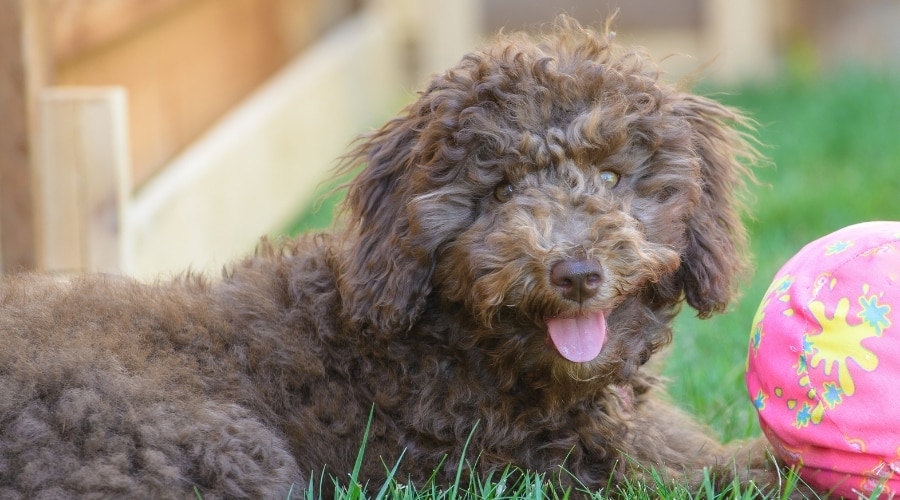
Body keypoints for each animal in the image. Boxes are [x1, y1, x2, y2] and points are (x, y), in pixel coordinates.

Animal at [0, 16, 772, 500]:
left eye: (611, 177)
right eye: (498, 192)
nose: (576, 272)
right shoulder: (529, 467)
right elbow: (694, 475)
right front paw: (772, 469)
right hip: (212, 446)